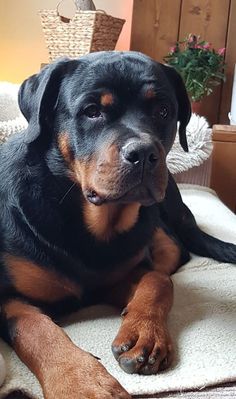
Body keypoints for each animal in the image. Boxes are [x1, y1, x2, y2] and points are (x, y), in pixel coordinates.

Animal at [0, 51, 236, 398]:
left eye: (163, 111)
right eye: (92, 111)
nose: (144, 153)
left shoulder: (115, 274)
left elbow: (157, 280)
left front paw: (145, 332)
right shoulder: (7, 297)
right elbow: (36, 328)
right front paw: (82, 382)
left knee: (173, 253)